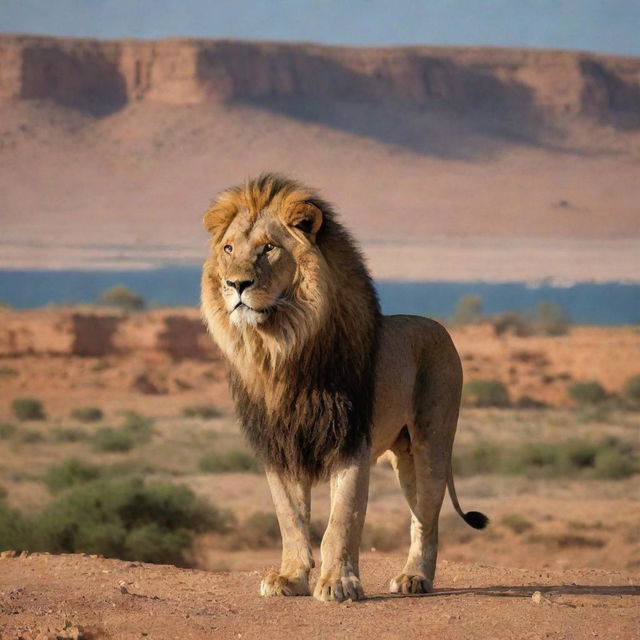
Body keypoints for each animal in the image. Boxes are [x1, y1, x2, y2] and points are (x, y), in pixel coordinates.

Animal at [202, 174, 488, 600]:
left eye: (268, 248)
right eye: (228, 248)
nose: (236, 284)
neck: (281, 348)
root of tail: (439, 327)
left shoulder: (351, 438)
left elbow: (343, 518)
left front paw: (338, 582)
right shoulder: (279, 444)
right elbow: (290, 518)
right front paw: (290, 577)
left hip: (432, 441)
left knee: (428, 516)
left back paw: (415, 577)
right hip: (404, 457)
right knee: (419, 512)